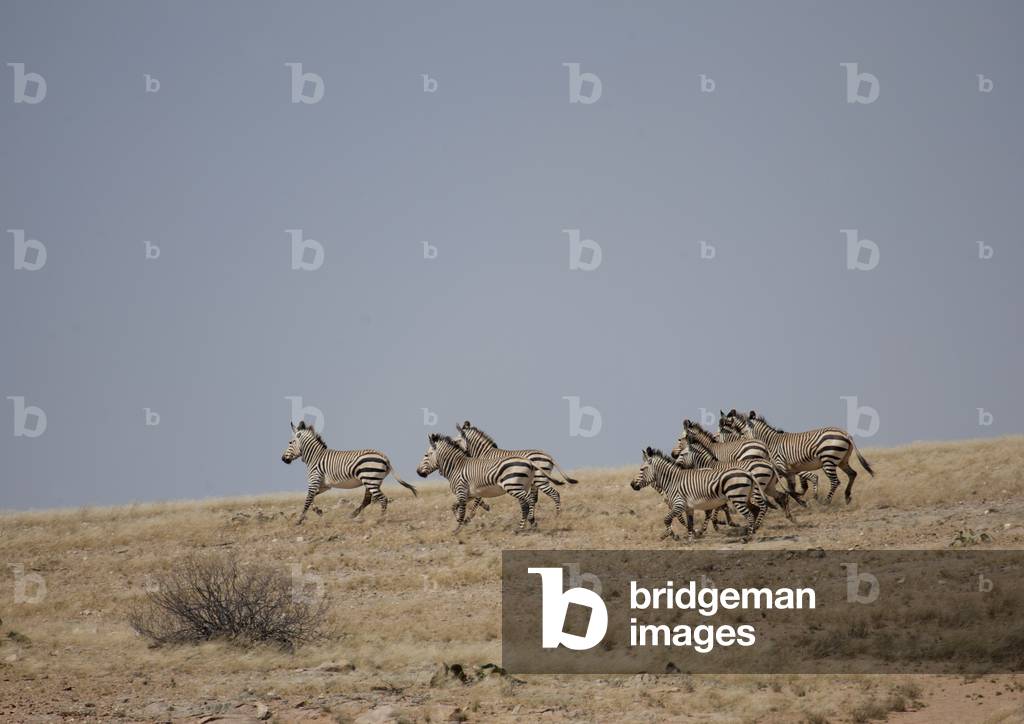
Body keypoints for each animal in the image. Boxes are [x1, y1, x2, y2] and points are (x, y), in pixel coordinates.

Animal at [281, 421, 418, 525]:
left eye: (290, 442)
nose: (283, 459)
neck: (315, 457)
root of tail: (384, 457)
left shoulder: (314, 482)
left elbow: (307, 500)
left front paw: (298, 520)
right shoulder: (324, 486)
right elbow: (311, 498)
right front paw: (318, 511)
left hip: (370, 480)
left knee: (383, 499)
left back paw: (380, 519)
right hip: (372, 481)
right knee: (368, 500)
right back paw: (353, 515)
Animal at [630, 447, 763, 541]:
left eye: (642, 469)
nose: (632, 485)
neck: (672, 481)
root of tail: (748, 473)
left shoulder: (679, 505)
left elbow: (667, 519)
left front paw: (674, 536)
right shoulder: (688, 507)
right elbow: (689, 523)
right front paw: (690, 539)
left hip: (737, 498)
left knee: (750, 515)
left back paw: (747, 538)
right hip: (744, 498)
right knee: (755, 510)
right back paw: (753, 531)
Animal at [723, 409, 875, 504]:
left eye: (742, 433)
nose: (739, 443)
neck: (770, 442)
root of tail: (845, 433)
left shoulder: (780, 465)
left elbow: (790, 487)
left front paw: (801, 499)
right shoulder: (789, 470)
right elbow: (792, 487)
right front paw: (800, 498)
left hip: (828, 460)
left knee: (835, 481)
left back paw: (827, 501)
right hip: (842, 460)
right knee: (853, 474)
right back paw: (847, 496)